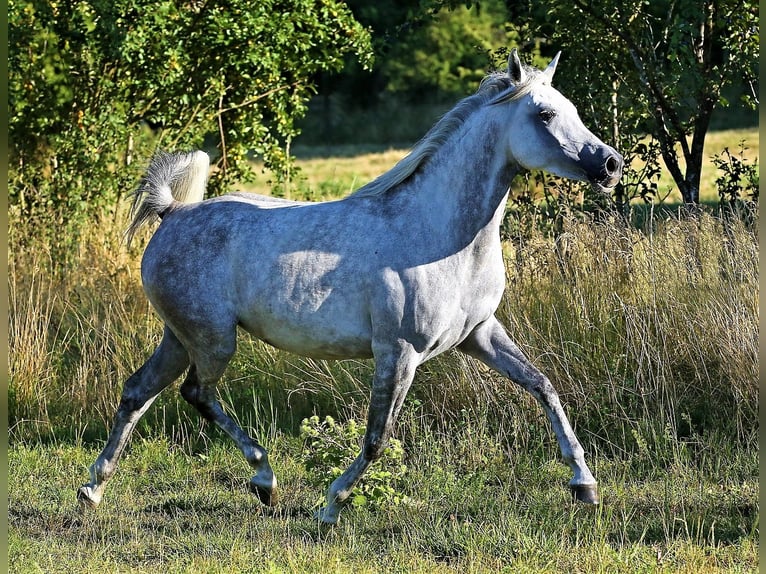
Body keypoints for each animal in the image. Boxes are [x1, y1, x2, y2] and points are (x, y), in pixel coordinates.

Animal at [78, 50, 624, 528]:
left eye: (571, 109)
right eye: (545, 113)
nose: (610, 165)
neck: (436, 232)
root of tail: (173, 212)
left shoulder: (480, 334)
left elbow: (543, 385)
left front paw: (585, 484)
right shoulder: (399, 352)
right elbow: (378, 438)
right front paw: (331, 506)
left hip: (181, 336)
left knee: (138, 391)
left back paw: (93, 489)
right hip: (213, 339)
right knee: (195, 392)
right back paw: (263, 479)